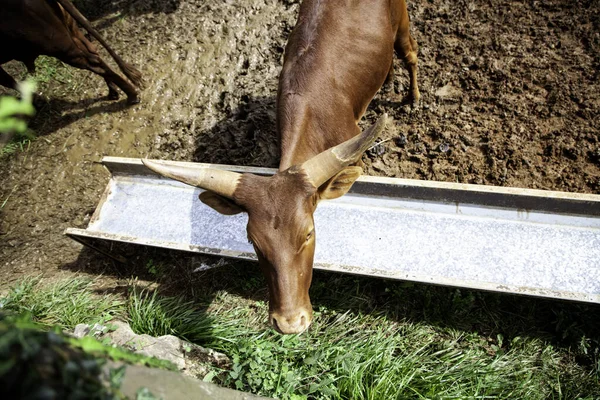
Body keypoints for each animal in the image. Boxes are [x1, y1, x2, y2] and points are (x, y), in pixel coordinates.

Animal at [0, 0, 142, 104]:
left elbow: (9, 82)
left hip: (60, 46)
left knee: (93, 62)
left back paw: (132, 96)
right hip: (71, 28)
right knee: (94, 52)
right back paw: (114, 93)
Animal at [143, 0, 420, 334]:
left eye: (309, 234)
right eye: (253, 241)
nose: (289, 323)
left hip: (402, 20)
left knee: (410, 53)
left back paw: (414, 97)